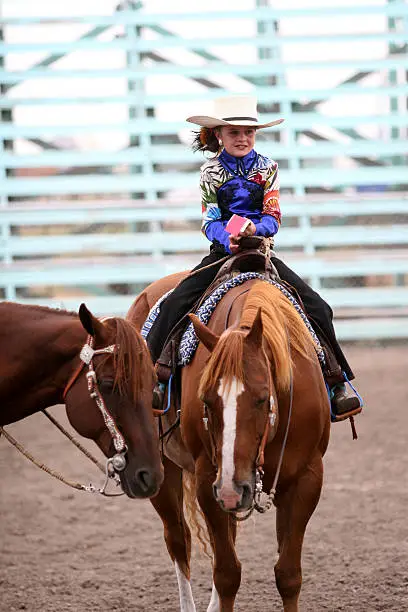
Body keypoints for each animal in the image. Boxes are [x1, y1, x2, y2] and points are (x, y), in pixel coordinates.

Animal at [129, 278, 330, 612]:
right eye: (206, 400)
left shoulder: (306, 478)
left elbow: (288, 574)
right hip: (165, 469)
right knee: (179, 539)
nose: (231, 490)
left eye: (262, 398)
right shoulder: (210, 479)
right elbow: (227, 574)